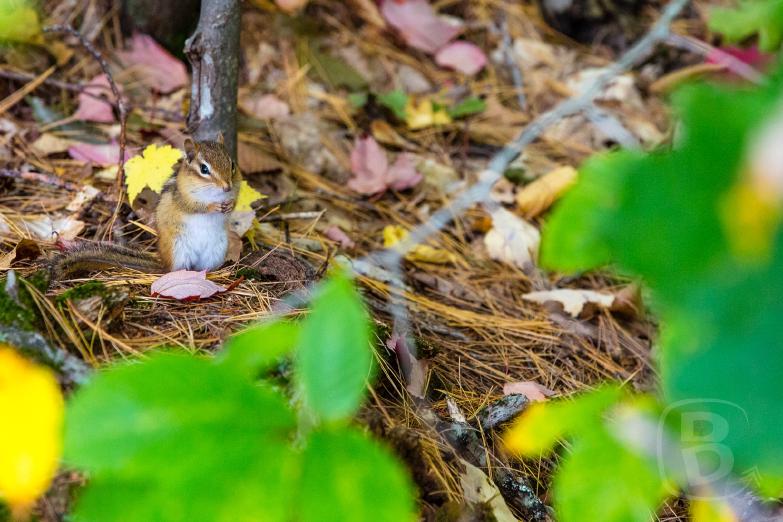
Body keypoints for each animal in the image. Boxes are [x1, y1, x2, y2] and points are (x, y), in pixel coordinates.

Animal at [51, 138, 242, 280]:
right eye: (204, 169)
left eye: (232, 164)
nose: (227, 187)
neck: (214, 193)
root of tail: (164, 264)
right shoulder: (183, 197)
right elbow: (194, 206)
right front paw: (212, 206)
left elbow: (235, 201)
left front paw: (230, 204)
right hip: (177, 248)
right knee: (175, 270)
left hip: (217, 250)